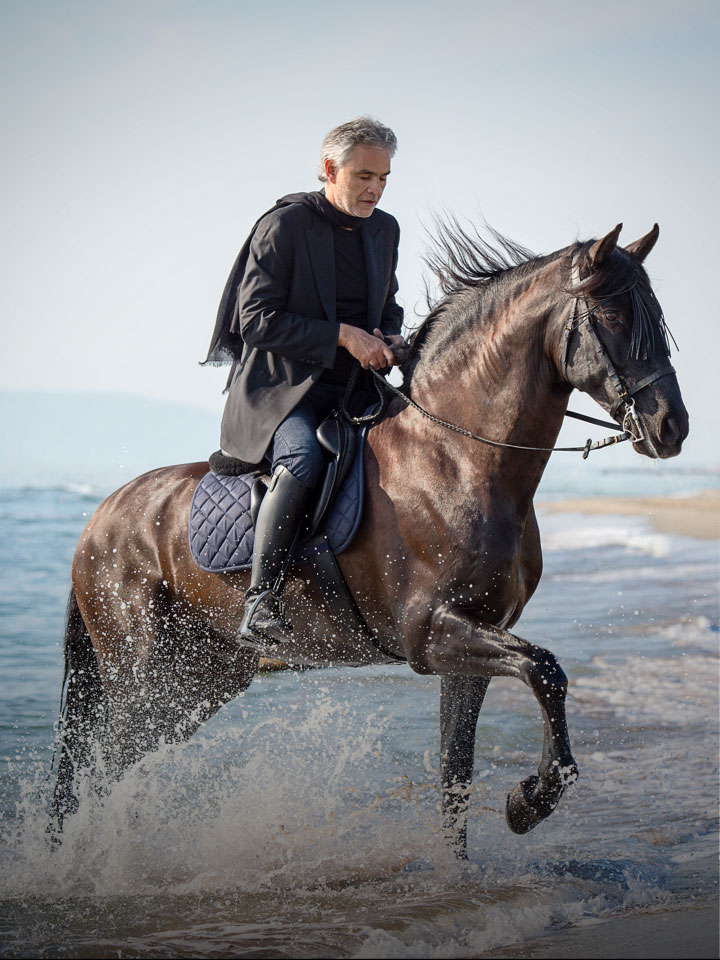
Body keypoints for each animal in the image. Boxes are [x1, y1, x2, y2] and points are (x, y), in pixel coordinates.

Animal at [51, 220, 688, 856]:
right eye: (613, 318)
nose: (672, 428)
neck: (459, 458)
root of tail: (98, 519)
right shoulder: (432, 634)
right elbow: (546, 671)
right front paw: (528, 802)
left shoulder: (470, 648)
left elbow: (456, 774)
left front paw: (467, 861)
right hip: (143, 679)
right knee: (104, 771)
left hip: (198, 681)